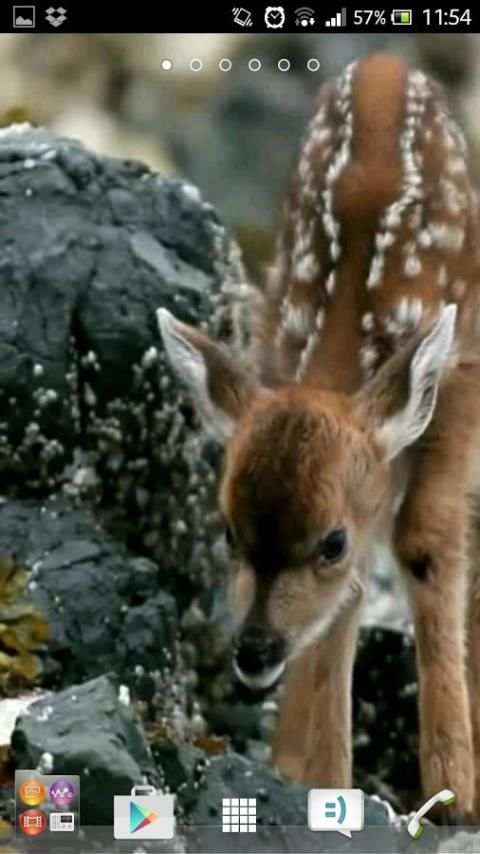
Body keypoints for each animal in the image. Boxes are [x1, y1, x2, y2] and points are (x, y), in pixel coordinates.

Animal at [157, 53, 480, 823]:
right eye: (226, 531)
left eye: (331, 541)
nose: (253, 651)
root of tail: (386, 63)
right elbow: (345, 607)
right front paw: (313, 778)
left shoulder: (457, 390)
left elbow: (426, 543)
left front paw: (457, 790)